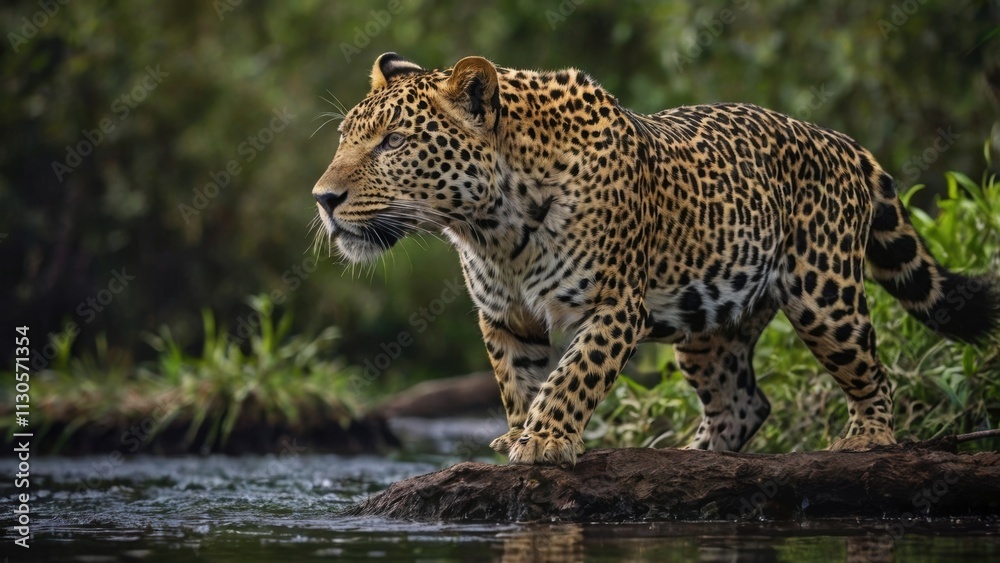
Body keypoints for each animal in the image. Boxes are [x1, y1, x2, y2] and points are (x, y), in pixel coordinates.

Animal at [312, 53, 999, 467]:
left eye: (393, 142)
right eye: (345, 138)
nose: (323, 198)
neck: (492, 228)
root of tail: (840, 140)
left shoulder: (614, 307)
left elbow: (570, 379)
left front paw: (545, 441)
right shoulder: (504, 317)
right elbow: (516, 379)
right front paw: (518, 430)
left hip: (823, 295)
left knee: (871, 371)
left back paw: (867, 437)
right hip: (710, 322)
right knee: (744, 402)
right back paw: (691, 457)